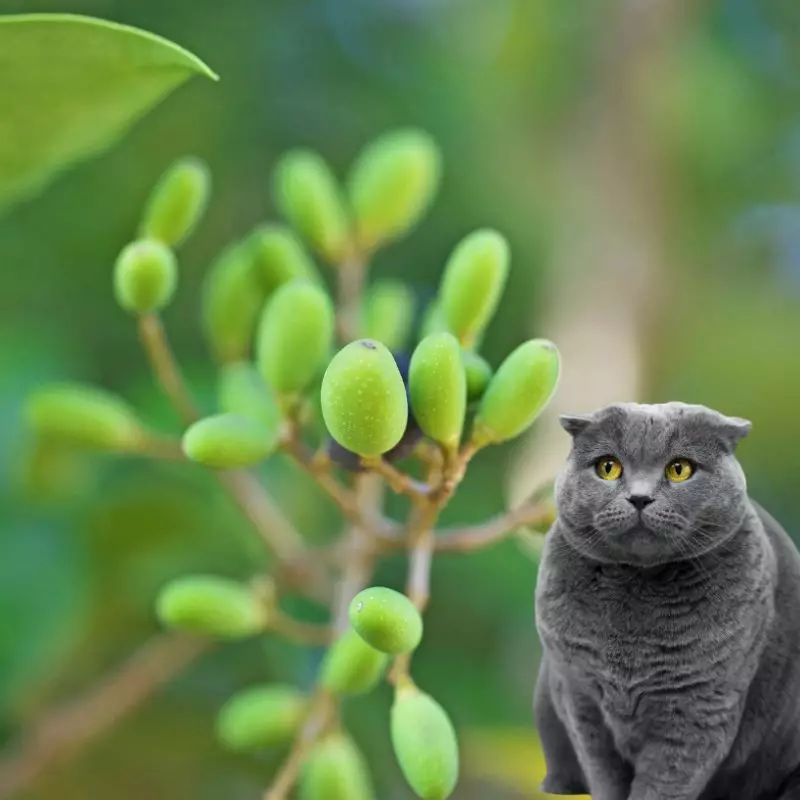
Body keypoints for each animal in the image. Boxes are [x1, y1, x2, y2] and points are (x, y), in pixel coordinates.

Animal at [536, 404, 800, 800]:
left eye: (680, 469)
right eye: (608, 467)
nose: (640, 497)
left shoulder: (699, 707)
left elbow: (664, 782)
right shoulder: (580, 699)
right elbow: (603, 774)